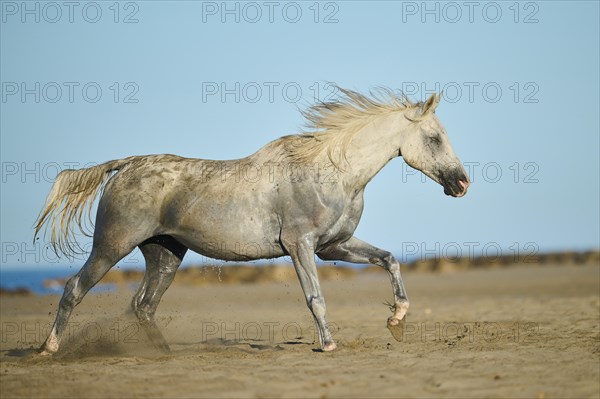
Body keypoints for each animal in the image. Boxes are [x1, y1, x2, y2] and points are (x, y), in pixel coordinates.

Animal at [36, 87, 468, 356]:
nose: (462, 183)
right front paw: (329, 344)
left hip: (165, 254)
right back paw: (48, 349)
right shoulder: (299, 245)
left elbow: (389, 259)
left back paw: (165, 354)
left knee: (142, 305)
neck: (331, 173)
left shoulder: (333, 246)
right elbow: (315, 298)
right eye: (434, 138)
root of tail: (124, 166)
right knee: (75, 289)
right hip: (112, 245)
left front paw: (396, 320)